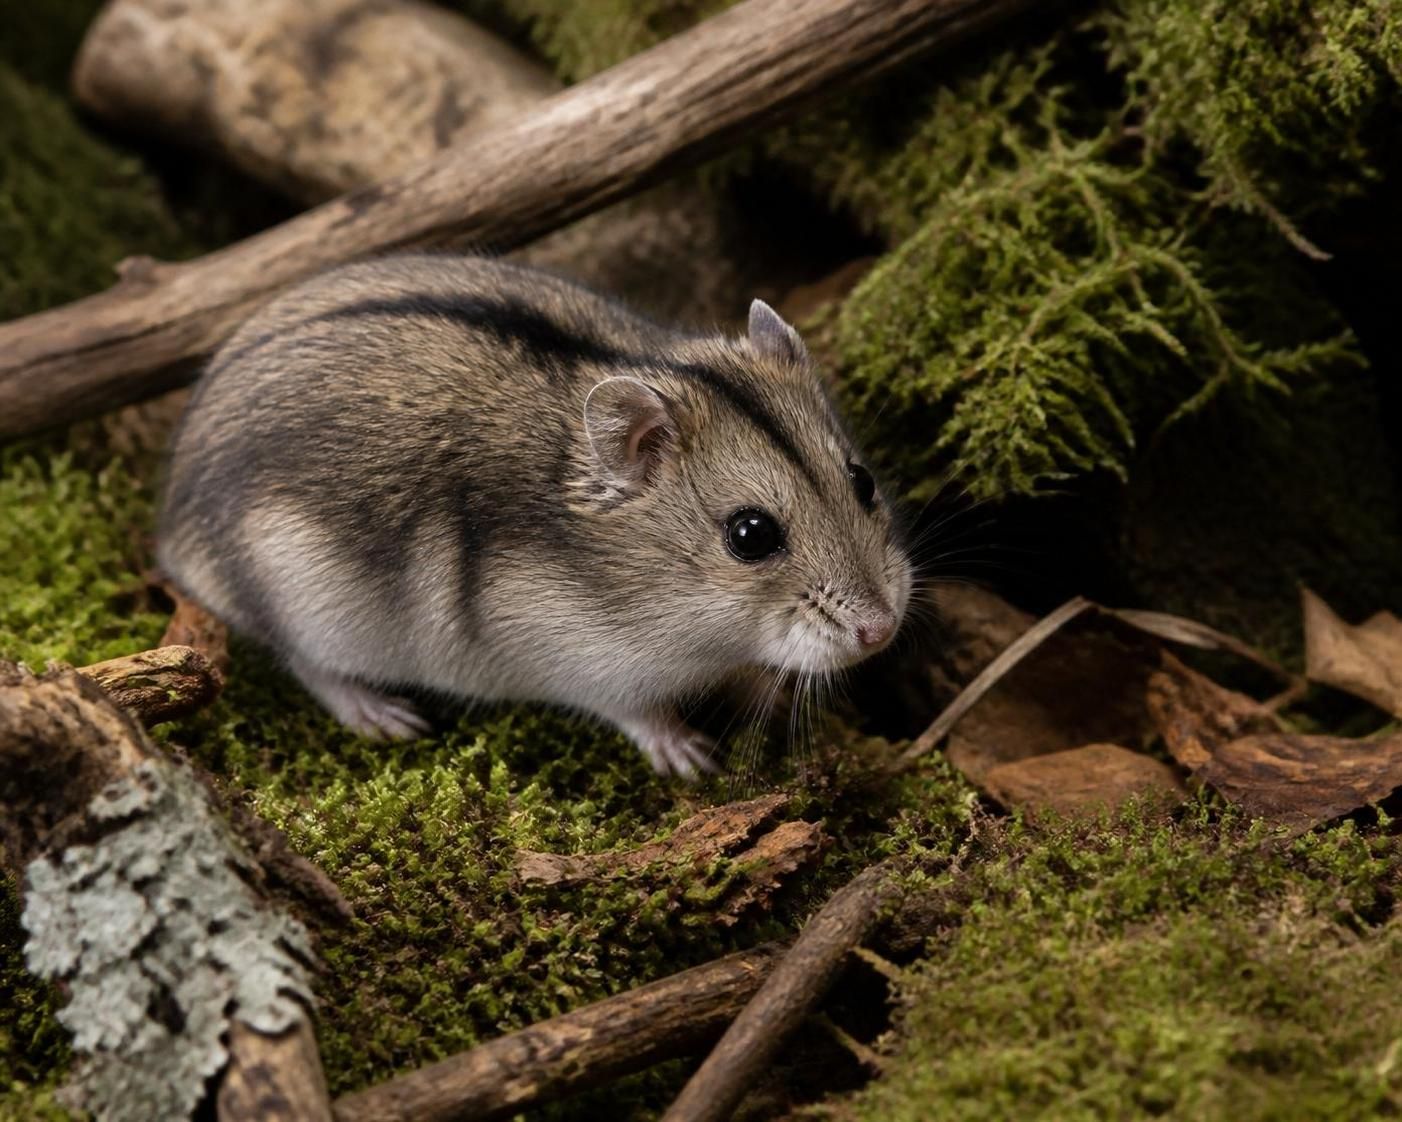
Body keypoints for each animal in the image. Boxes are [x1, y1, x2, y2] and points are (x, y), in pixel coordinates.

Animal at [158, 253, 913, 778]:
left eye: (863, 480)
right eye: (750, 536)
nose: (882, 632)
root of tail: (172, 520)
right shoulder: (588, 663)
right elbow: (639, 712)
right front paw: (693, 757)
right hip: (302, 598)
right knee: (308, 665)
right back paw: (387, 717)